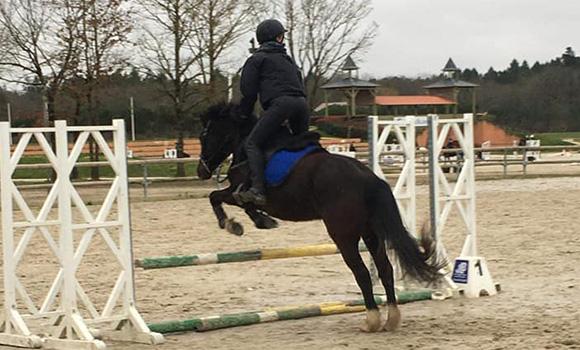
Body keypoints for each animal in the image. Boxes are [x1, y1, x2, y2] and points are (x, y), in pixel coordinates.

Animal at [197, 102, 442, 332]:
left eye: (205, 136)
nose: (202, 171)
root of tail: (368, 178)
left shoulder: (239, 191)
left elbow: (219, 197)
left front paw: (233, 224)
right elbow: (227, 200)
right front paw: (259, 221)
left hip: (343, 236)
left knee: (362, 273)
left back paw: (371, 320)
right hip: (370, 233)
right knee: (385, 269)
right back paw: (391, 318)